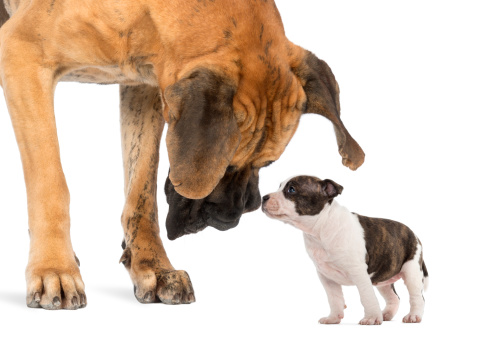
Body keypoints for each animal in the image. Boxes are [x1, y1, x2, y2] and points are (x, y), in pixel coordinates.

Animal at [260, 175, 430, 324]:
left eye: (291, 190)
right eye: (280, 186)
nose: (263, 197)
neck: (321, 229)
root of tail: (415, 235)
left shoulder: (359, 273)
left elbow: (367, 297)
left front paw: (371, 319)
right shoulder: (326, 276)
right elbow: (334, 298)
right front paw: (333, 318)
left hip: (412, 271)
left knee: (417, 297)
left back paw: (413, 316)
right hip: (384, 279)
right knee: (393, 297)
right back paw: (386, 315)